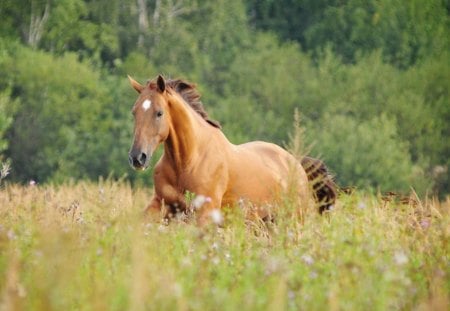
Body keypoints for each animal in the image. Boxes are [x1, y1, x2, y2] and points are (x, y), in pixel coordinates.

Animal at [126, 75, 334, 227]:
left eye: (159, 113)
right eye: (134, 112)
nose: (137, 157)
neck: (187, 162)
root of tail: (297, 164)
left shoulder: (206, 212)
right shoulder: (161, 204)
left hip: (293, 218)